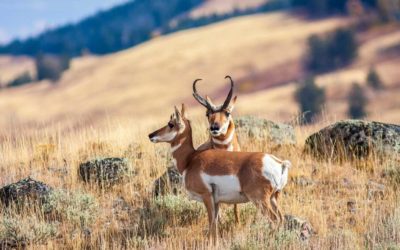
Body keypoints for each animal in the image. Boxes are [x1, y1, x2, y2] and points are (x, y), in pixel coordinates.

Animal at [148, 104, 292, 241]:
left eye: (170, 124)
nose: (151, 135)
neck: (190, 159)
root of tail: (279, 163)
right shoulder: (216, 202)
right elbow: (216, 225)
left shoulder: (207, 196)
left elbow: (211, 224)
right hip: (274, 198)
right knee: (281, 218)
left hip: (260, 200)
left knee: (274, 219)